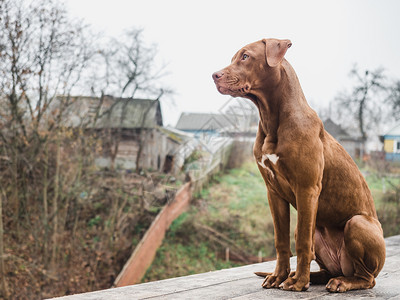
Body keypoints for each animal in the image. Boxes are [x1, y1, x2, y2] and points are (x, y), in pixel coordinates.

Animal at [212, 38, 384, 292]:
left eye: (245, 56)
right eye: (234, 57)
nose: (214, 75)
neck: (272, 119)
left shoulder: (306, 189)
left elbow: (302, 241)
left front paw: (299, 283)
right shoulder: (273, 193)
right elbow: (281, 240)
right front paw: (278, 276)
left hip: (357, 223)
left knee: (367, 278)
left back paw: (339, 282)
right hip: (320, 232)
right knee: (324, 265)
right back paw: (310, 276)